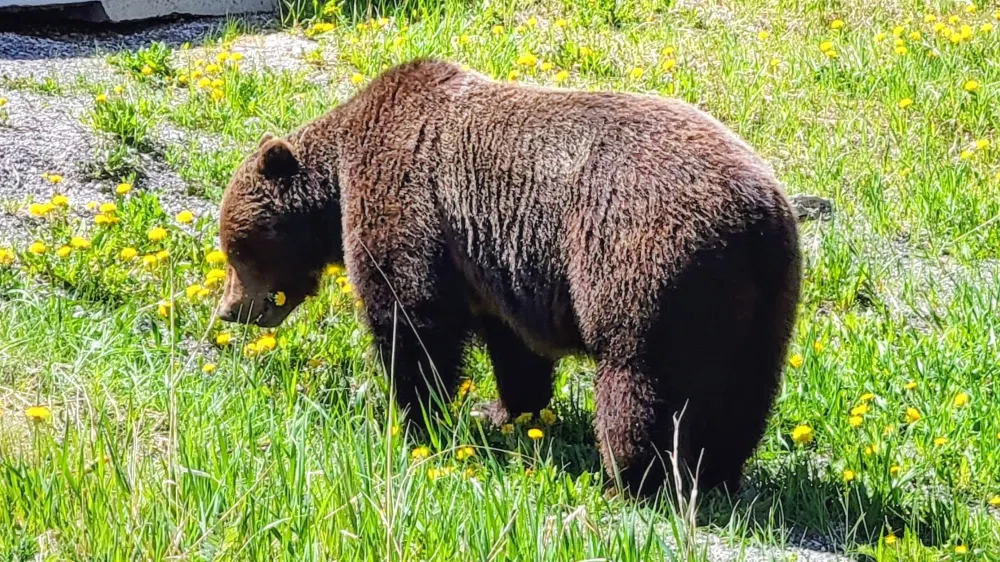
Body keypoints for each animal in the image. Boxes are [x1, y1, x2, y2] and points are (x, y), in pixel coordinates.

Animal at [215, 58, 802, 498]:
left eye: (234, 250)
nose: (229, 310)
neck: (336, 183)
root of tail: (756, 215)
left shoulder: (408, 203)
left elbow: (410, 318)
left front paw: (412, 419)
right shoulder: (494, 264)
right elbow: (515, 347)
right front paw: (503, 411)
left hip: (640, 263)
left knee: (639, 379)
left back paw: (630, 479)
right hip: (765, 299)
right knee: (745, 387)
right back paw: (717, 473)